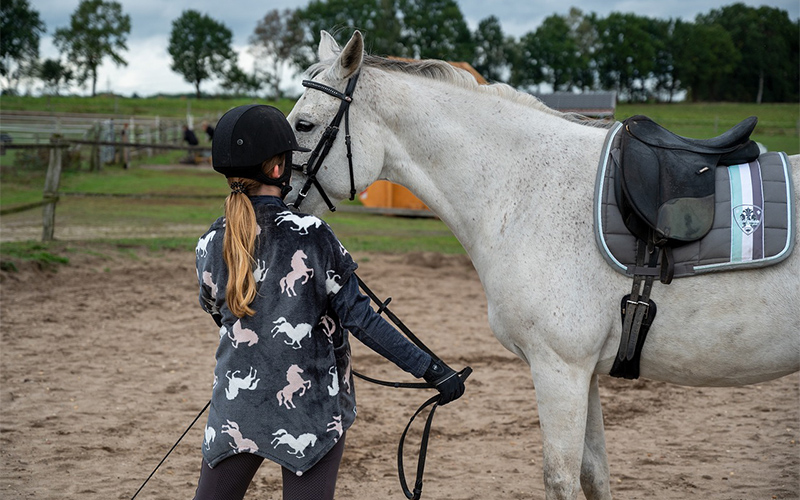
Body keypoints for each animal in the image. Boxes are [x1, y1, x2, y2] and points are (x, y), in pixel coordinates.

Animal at [288, 31, 800, 500]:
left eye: (304, 125)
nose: (276, 195)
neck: (524, 189)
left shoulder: (560, 369)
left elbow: (561, 478)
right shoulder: (584, 373)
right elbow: (594, 474)